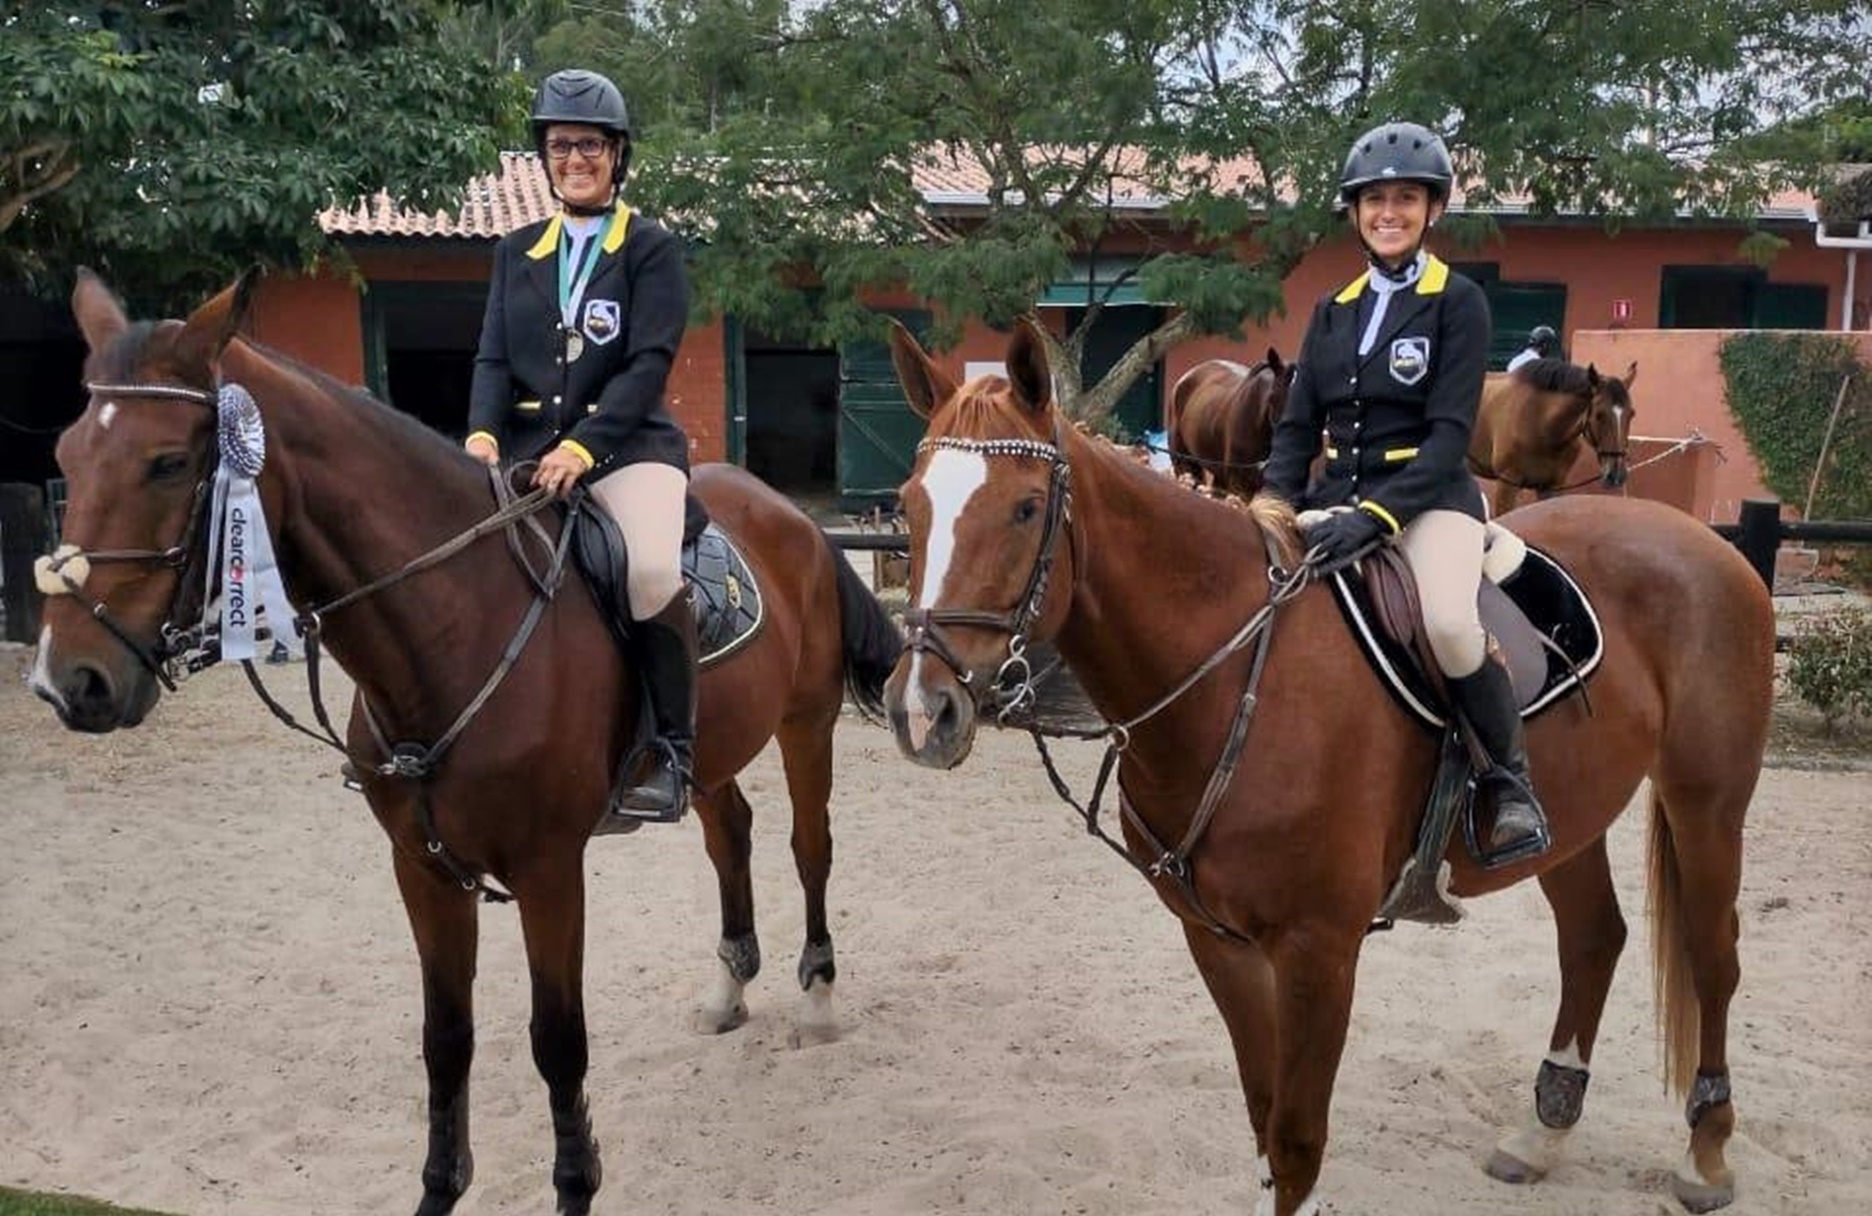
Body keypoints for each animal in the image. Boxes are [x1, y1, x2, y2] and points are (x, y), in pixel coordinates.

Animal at [31, 273, 906, 1212]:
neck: (453, 624)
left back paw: (816, 999)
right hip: (709, 752)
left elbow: (558, 1039)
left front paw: (575, 1187)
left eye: (168, 462)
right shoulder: (422, 870)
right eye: (69, 454)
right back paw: (728, 988)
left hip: (804, 725)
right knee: (731, 834)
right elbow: (446, 1037)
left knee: (809, 846)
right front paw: (439, 1190)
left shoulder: (549, 871)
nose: (67, 681)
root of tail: (791, 516)